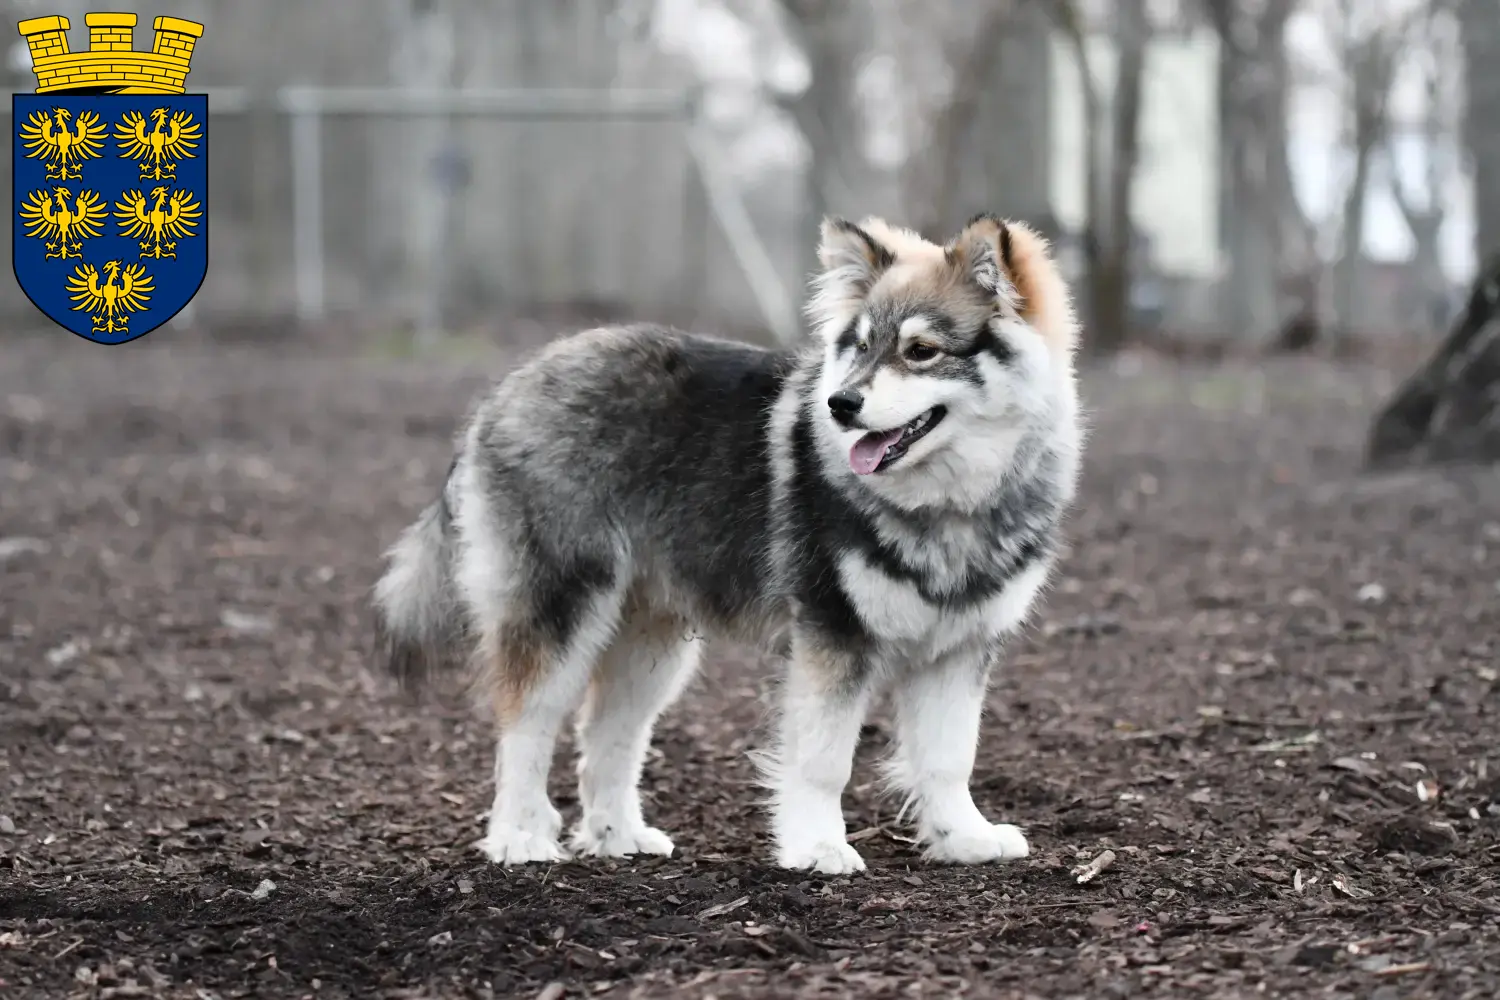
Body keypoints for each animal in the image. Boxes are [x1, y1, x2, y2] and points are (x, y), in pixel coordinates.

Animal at [372, 212, 1080, 875]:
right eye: (857, 347)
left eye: (923, 350)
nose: (840, 404)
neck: (949, 504)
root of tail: (507, 388)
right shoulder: (832, 635)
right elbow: (824, 761)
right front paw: (819, 846)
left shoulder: (960, 648)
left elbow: (949, 759)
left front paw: (964, 837)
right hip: (561, 608)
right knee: (526, 724)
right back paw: (519, 837)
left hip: (651, 642)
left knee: (608, 736)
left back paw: (618, 836)